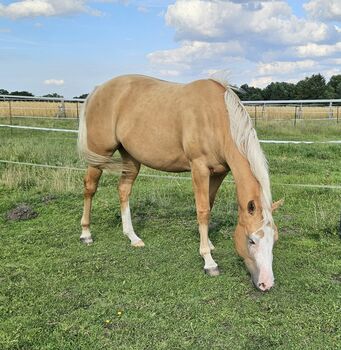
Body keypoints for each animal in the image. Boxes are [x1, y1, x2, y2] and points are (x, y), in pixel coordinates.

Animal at [77, 75, 282, 292]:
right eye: (251, 240)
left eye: (274, 240)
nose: (266, 283)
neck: (216, 117)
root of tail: (98, 89)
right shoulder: (199, 168)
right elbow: (203, 211)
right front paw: (209, 261)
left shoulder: (219, 173)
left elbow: (208, 206)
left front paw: (209, 243)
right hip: (99, 154)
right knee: (89, 188)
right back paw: (86, 233)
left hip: (131, 159)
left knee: (123, 190)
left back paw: (133, 237)